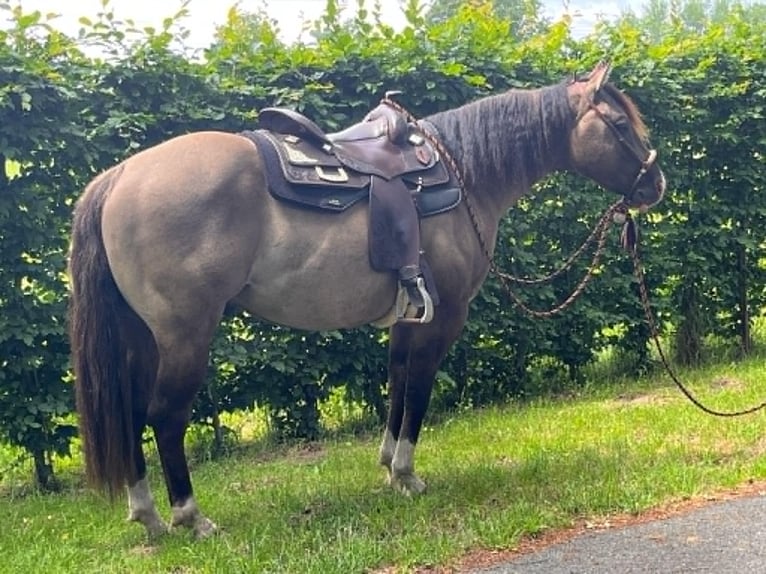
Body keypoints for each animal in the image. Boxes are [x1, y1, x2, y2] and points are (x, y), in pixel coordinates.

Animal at [68, 62, 666, 539]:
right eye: (618, 125)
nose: (655, 183)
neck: (466, 174)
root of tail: (119, 177)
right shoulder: (444, 317)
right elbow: (419, 389)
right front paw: (406, 474)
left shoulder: (408, 316)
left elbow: (397, 381)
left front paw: (386, 464)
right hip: (185, 334)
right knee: (166, 417)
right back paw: (190, 518)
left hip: (142, 337)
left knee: (129, 413)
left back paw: (147, 515)